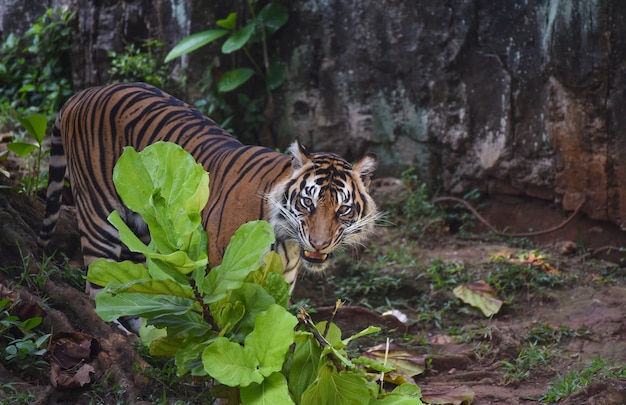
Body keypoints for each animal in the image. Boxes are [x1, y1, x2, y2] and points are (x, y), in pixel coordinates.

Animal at [40, 82, 380, 294]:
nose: (320, 245)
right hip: (100, 214)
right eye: (308, 203)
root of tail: (81, 94)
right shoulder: (221, 273)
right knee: (97, 287)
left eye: (343, 209)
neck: (288, 244)